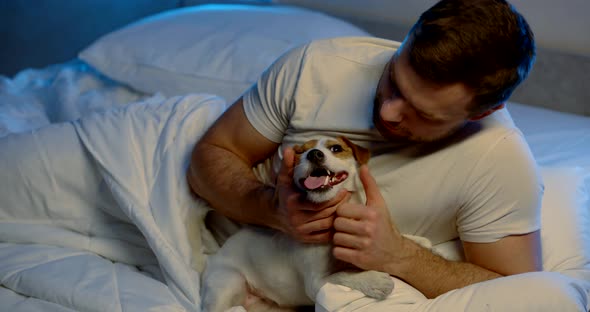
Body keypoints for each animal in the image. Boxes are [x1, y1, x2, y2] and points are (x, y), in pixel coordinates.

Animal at [201, 137, 400, 312]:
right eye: (300, 152)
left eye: (336, 148)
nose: (314, 154)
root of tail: (212, 259)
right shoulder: (316, 283)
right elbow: (342, 275)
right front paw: (374, 280)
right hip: (229, 281)